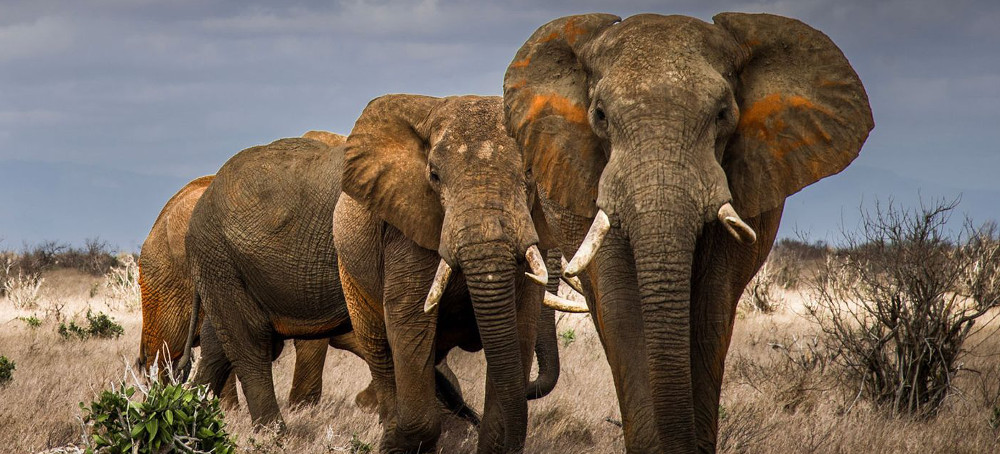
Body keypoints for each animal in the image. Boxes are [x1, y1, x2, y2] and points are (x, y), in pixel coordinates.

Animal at [334, 94, 575, 453]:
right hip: (349, 272)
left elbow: (519, 327)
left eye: (530, 171)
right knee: (379, 348)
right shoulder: (407, 231)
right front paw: (400, 440)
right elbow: (410, 320)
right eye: (433, 175)